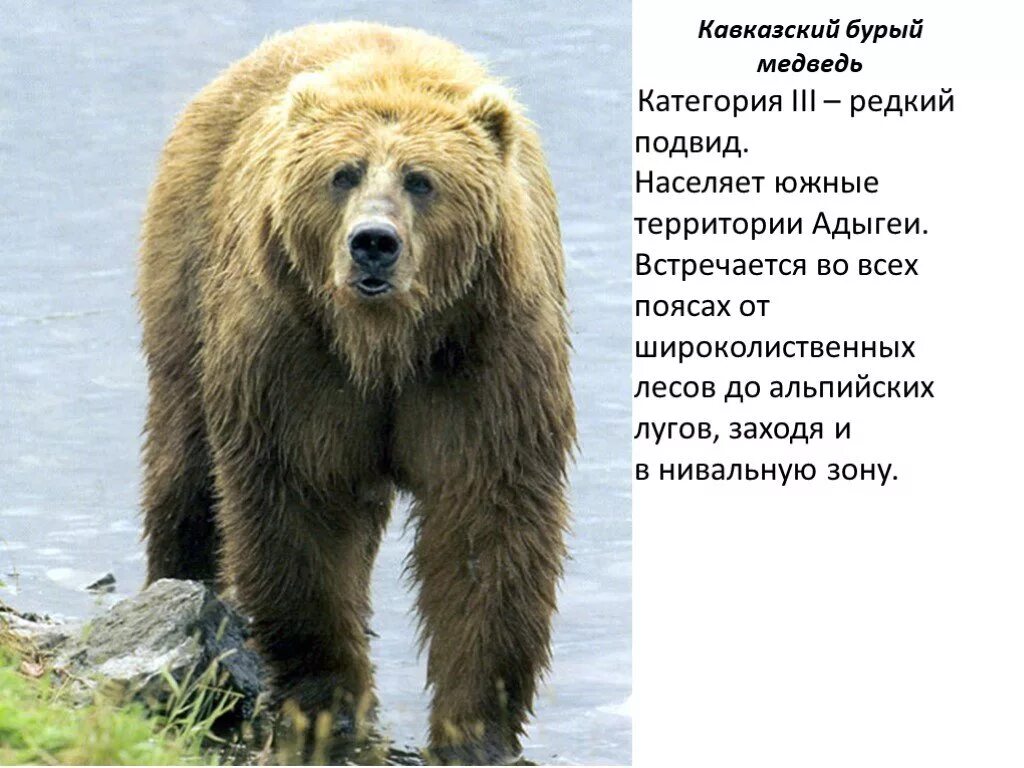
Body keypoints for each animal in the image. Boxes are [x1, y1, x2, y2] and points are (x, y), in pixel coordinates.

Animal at [136, 21, 574, 764]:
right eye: (342, 173)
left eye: (422, 180)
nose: (373, 243)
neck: (386, 344)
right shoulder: (295, 357)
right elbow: (298, 511)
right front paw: (328, 702)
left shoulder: (486, 360)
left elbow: (488, 527)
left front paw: (475, 725)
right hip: (188, 265)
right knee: (185, 459)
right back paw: (176, 584)